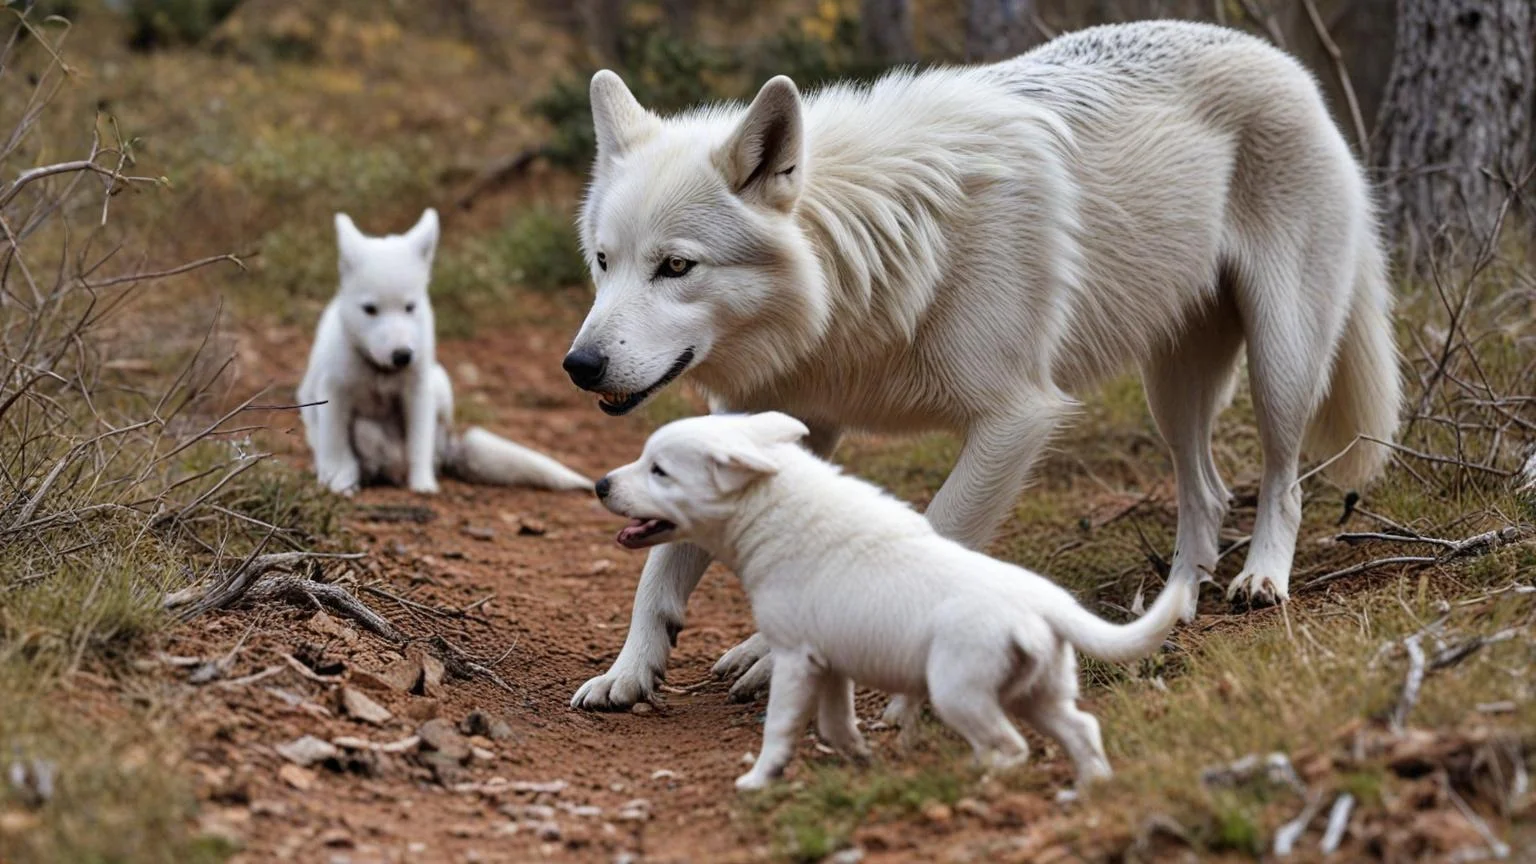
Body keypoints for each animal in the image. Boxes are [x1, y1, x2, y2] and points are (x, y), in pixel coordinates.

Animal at [298, 208, 592, 496]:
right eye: (370, 309)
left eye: (410, 307)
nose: (402, 356)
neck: (379, 371)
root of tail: (451, 449)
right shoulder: (334, 393)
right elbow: (336, 448)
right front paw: (340, 483)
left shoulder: (417, 391)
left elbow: (419, 444)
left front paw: (423, 485)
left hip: (439, 385)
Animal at [564, 20, 1402, 711]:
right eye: (604, 261)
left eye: (676, 266)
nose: (580, 364)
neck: (868, 258)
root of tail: (1284, 62)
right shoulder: (779, 421)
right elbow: (660, 571)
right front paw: (630, 673)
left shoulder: (1016, 418)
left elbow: (930, 532)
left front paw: (781, 658)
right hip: (1173, 389)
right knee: (1207, 490)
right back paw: (1178, 600)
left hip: (1281, 363)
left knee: (1284, 478)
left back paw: (1261, 579)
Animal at [597, 411, 1193, 790]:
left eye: (659, 470)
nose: (600, 484)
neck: (772, 513)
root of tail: (1048, 605)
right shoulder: (831, 662)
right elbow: (836, 723)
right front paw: (859, 758)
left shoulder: (796, 659)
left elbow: (780, 726)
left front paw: (760, 779)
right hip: (1037, 693)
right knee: (1081, 730)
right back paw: (1089, 786)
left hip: (961, 692)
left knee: (1010, 746)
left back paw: (976, 777)